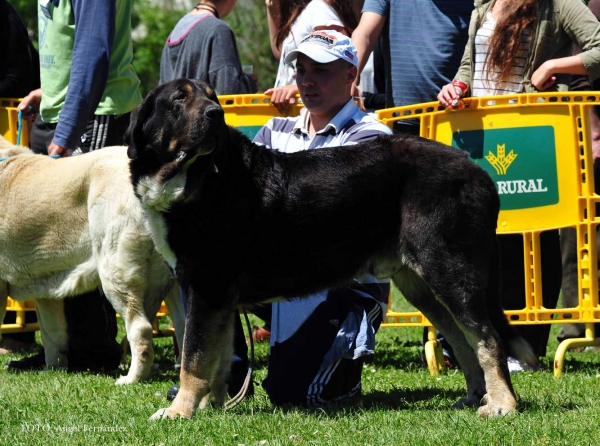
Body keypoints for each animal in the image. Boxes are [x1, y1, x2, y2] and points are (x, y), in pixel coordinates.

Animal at [127, 79, 540, 418]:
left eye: (212, 98)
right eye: (180, 98)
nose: (216, 114)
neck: (193, 177)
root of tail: (478, 173)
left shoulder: (206, 288)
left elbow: (193, 357)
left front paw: (180, 410)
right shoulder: (219, 299)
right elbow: (219, 357)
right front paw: (209, 406)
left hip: (451, 272)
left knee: (488, 339)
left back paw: (502, 405)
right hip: (423, 285)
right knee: (462, 339)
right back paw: (474, 397)